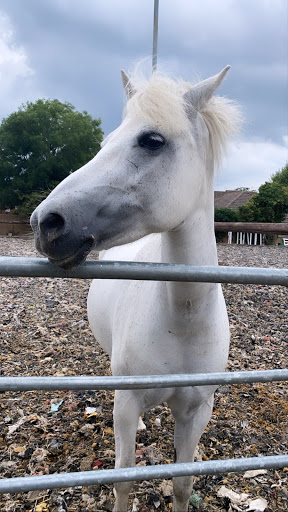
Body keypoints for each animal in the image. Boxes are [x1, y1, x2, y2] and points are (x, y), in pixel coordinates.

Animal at [31, 66, 241, 510]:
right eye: (104, 142)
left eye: (152, 140)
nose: (45, 223)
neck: (182, 319)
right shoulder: (126, 405)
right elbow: (124, 479)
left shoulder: (197, 411)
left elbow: (182, 483)